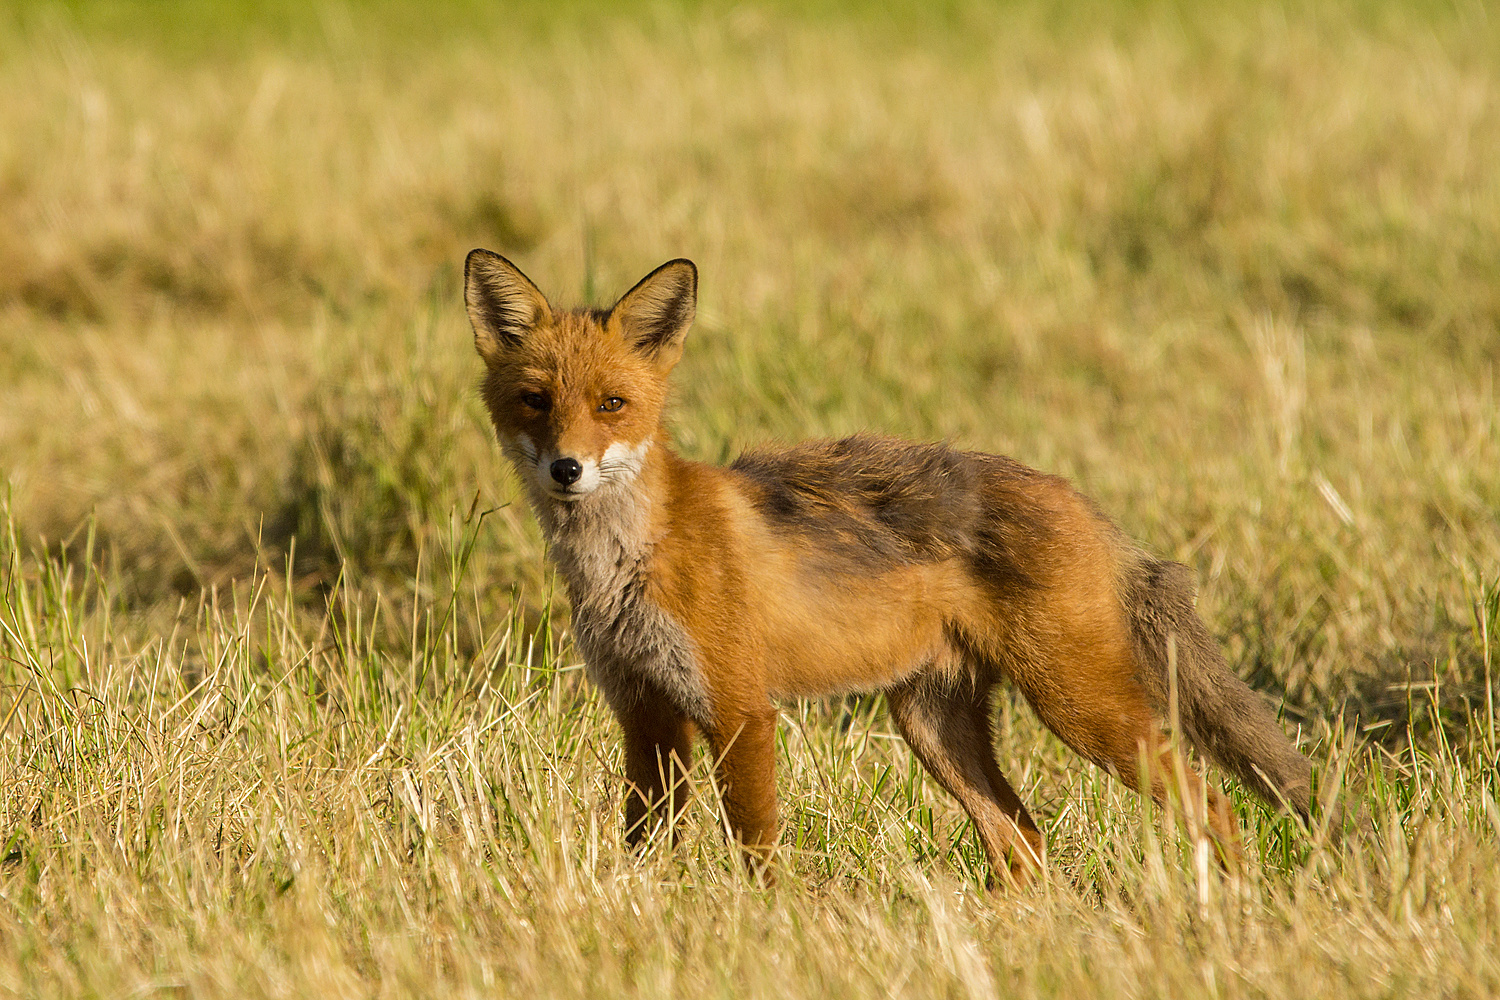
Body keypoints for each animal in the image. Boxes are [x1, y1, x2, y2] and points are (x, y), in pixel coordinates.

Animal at [465, 248, 1314, 881]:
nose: (567, 470)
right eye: (536, 401)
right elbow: (642, 847)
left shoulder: (740, 710)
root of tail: (1088, 507)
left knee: (1212, 806)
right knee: (1024, 842)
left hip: (1083, 711)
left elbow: (756, 851)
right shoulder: (646, 714)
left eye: (611, 404)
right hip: (934, 725)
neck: (627, 563)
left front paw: (764, 931)